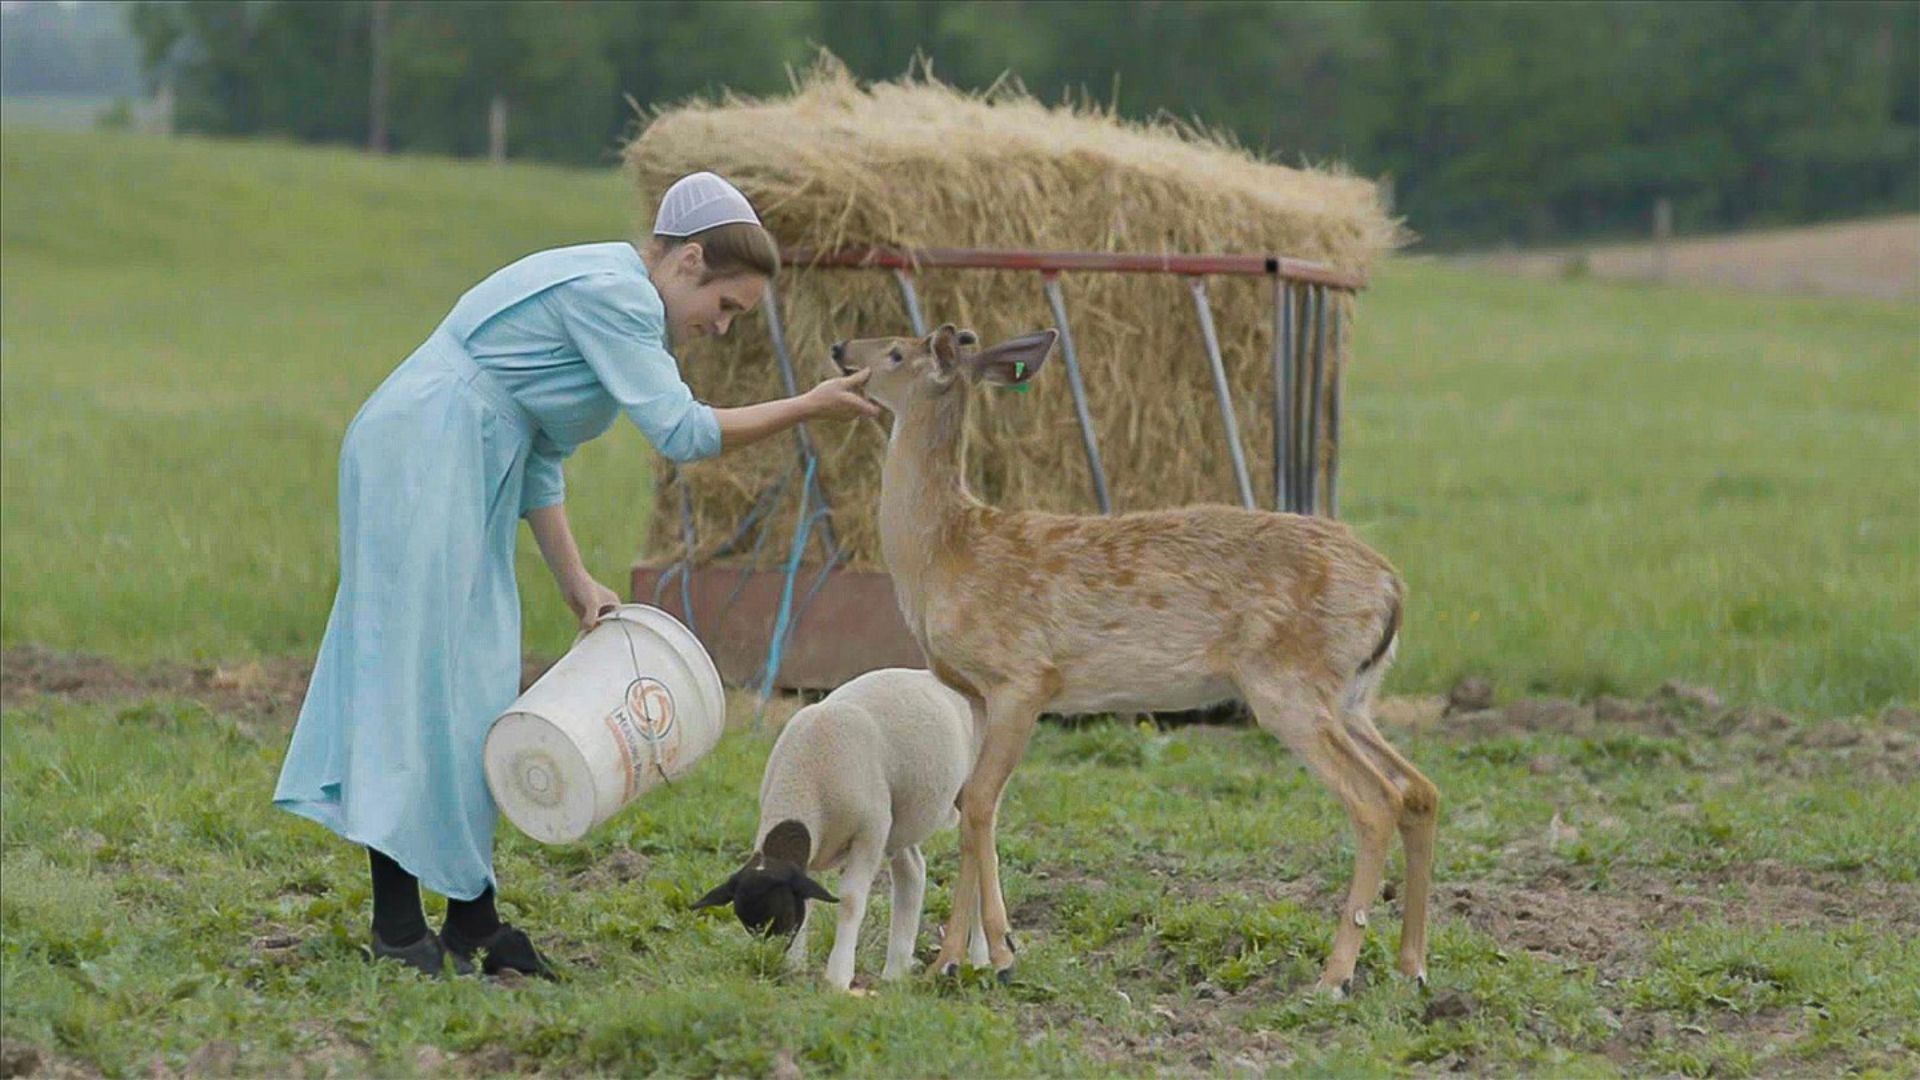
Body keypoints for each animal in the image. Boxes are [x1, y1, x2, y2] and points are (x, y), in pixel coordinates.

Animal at [695, 668, 990, 991]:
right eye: (750, 926)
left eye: (781, 915)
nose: (769, 963)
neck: (804, 780)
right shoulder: (811, 855)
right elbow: (809, 900)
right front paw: (796, 966)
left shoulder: (870, 833)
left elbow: (849, 901)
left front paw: (838, 976)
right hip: (901, 819)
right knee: (912, 870)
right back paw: (895, 970)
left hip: (968, 789)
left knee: (979, 864)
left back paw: (981, 959)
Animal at [829, 320, 1443, 991]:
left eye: (895, 351)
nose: (839, 349)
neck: (945, 553)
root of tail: (1392, 588)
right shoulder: (977, 694)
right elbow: (974, 804)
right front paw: (965, 955)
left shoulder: (1024, 676)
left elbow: (982, 802)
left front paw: (989, 954)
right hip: (1352, 695)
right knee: (1419, 790)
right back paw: (1412, 967)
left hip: (1289, 686)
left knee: (1375, 801)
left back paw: (1335, 976)